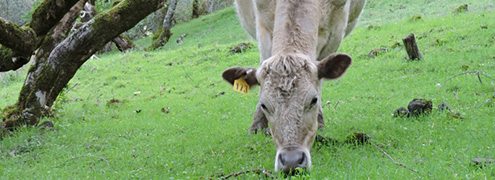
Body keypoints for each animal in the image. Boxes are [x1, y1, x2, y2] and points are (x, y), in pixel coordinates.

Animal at [223, 0, 366, 174]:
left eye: (313, 100)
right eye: (264, 105)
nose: (291, 161)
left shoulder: (335, 32)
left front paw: (320, 122)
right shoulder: (263, 24)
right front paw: (256, 127)